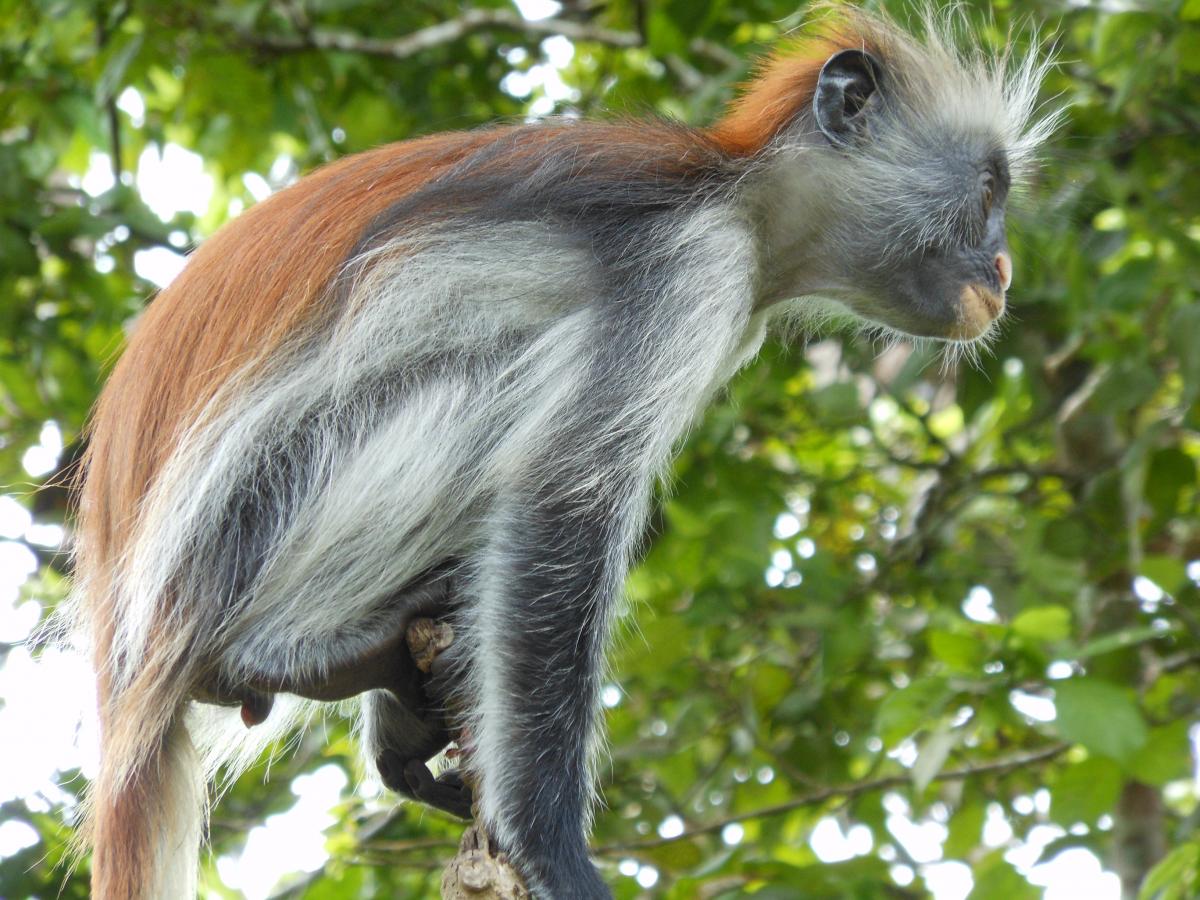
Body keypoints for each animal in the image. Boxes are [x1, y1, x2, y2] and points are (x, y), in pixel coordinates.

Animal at [61, 6, 1053, 898]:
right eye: (989, 193)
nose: (1004, 270)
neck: (738, 191)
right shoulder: (690, 266)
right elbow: (561, 496)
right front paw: (551, 851)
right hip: (262, 512)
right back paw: (279, 653)